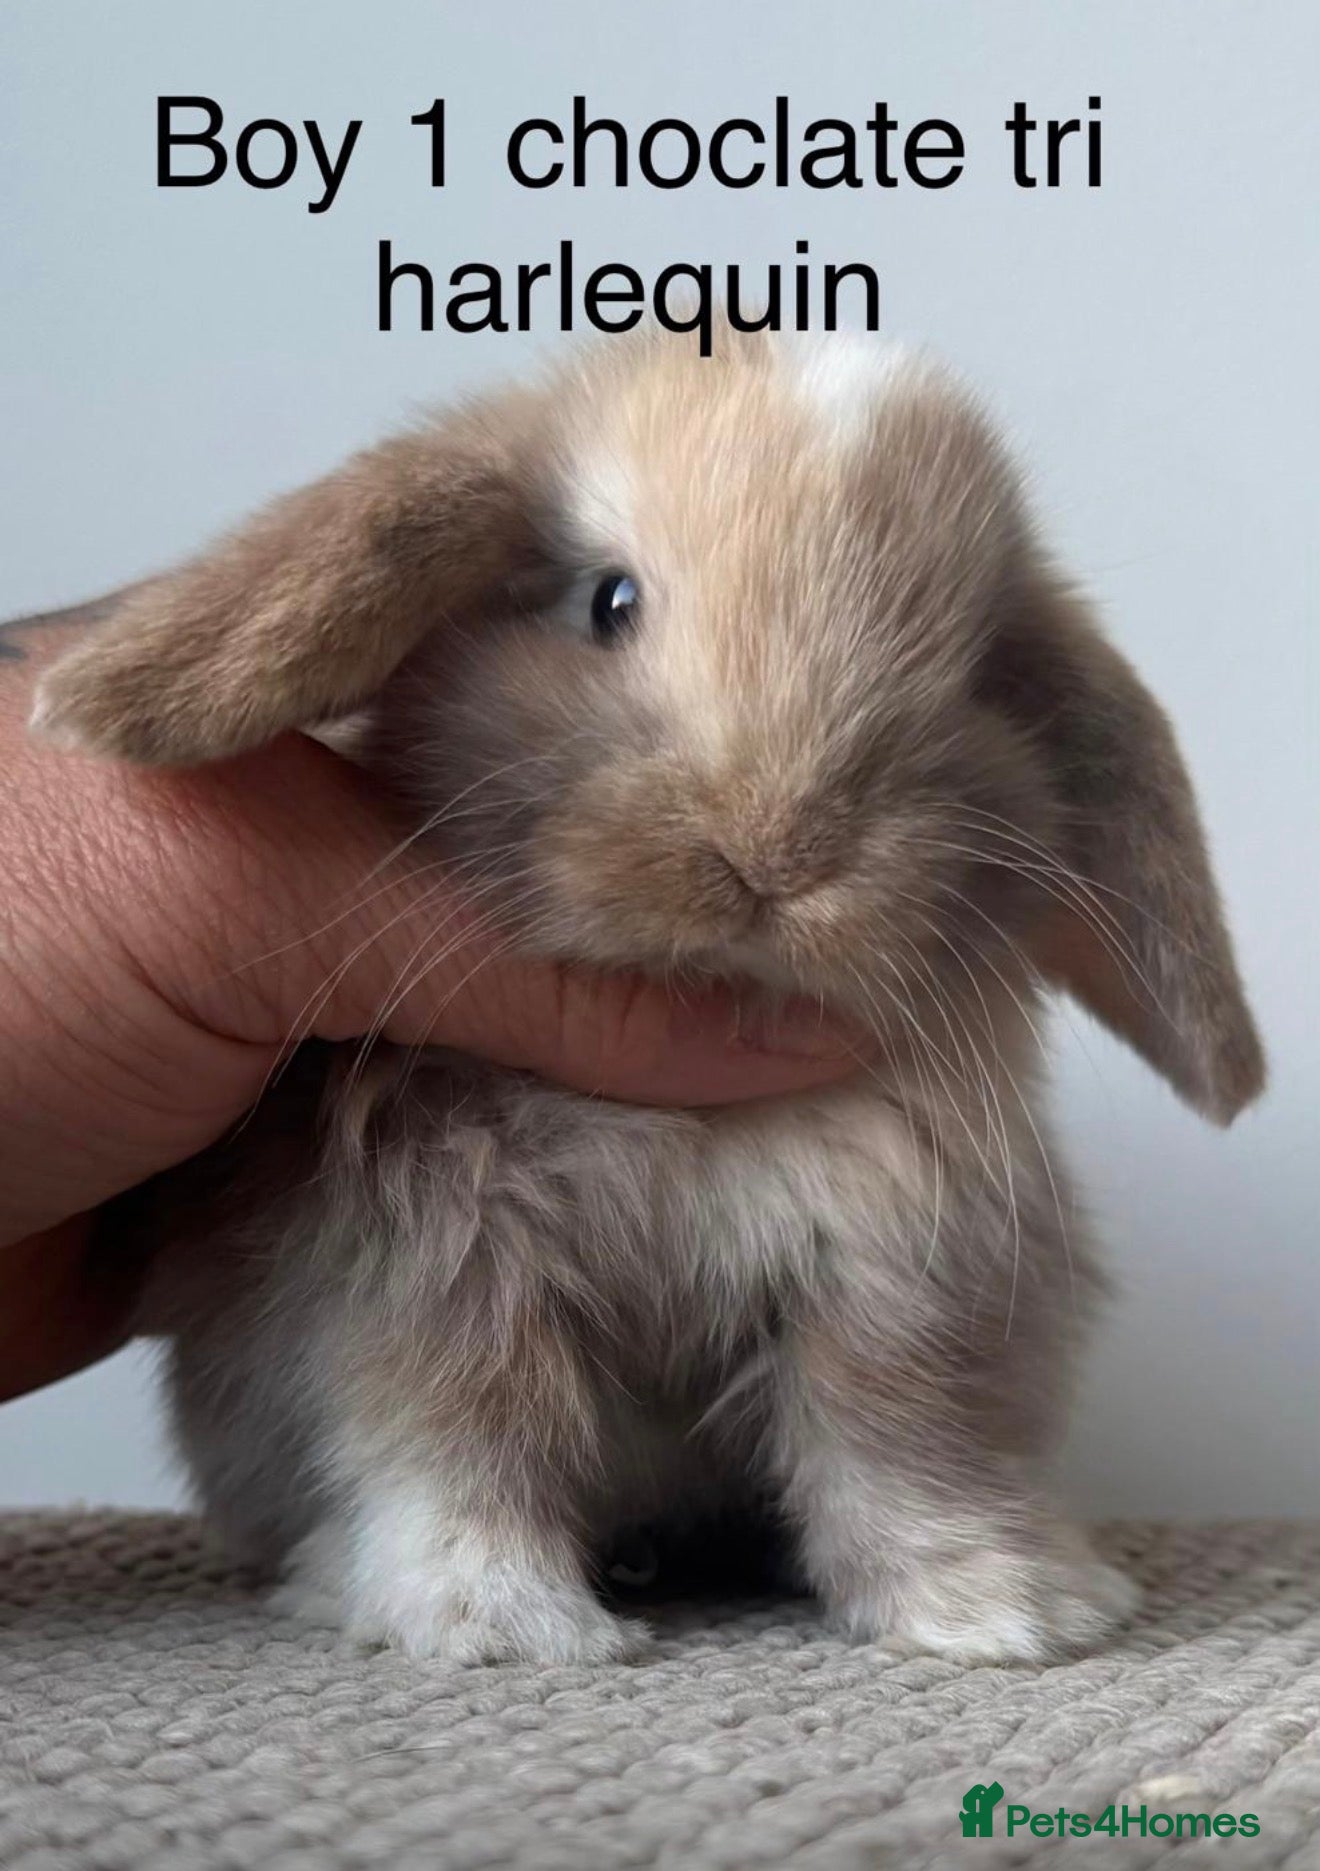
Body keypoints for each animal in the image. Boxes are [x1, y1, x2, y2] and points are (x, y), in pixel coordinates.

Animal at [30, 325, 1264, 1665]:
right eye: (607, 601)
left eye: (974, 673)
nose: (778, 850)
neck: (693, 1116)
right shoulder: (427, 1261)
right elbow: (456, 1437)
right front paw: (500, 1622)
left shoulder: (902, 1271)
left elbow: (897, 1445)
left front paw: (1003, 1607)